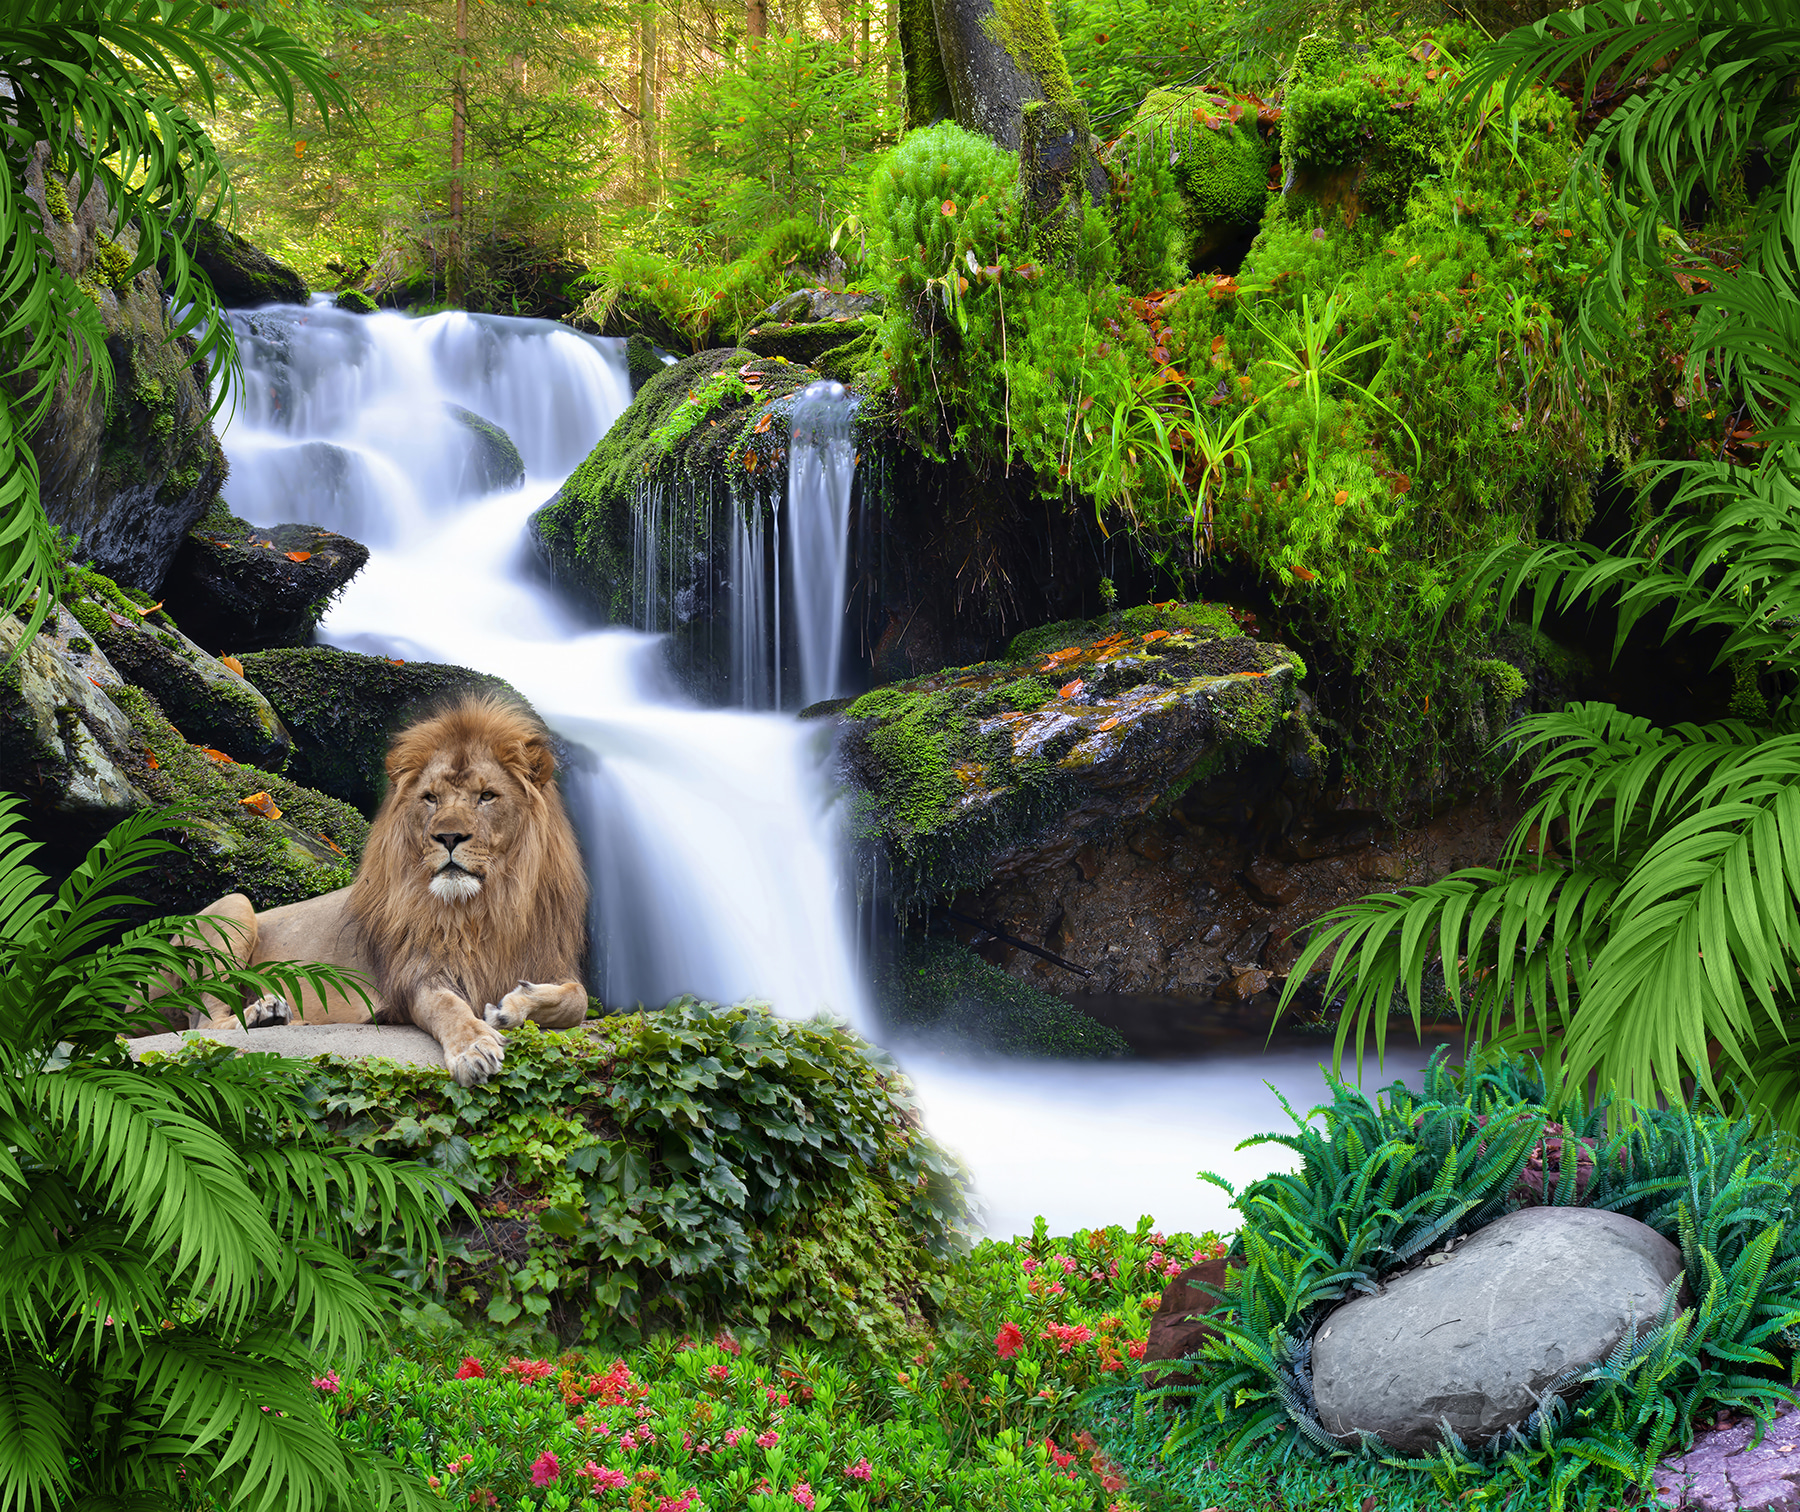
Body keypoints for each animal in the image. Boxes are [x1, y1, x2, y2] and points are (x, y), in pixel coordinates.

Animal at [188, 695, 590, 1086]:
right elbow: (449, 1007)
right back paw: (265, 1013)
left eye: (487, 796)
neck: (482, 907)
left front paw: (512, 1007)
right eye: (430, 798)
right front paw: (473, 1048)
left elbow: (578, 999)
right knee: (205, 1023)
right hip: (234, 905)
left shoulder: (549, 961)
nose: (448, 837)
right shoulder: (416, 976)